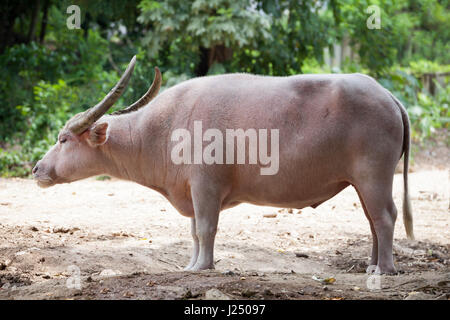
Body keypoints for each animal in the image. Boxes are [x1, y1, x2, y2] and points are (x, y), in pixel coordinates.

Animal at [33, 56, 414, 274]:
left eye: (63, 139)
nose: (37, 169)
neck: (163, 130)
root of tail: (388, 96)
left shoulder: (206, 188)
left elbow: (206, 229)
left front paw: (202, 267)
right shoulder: (193, 190)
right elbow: (193, 233)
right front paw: (191, 263)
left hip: (374, 176)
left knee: (386, 217)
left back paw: (384, 270)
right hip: (360, 183)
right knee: (372, 221)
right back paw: (371, 265)